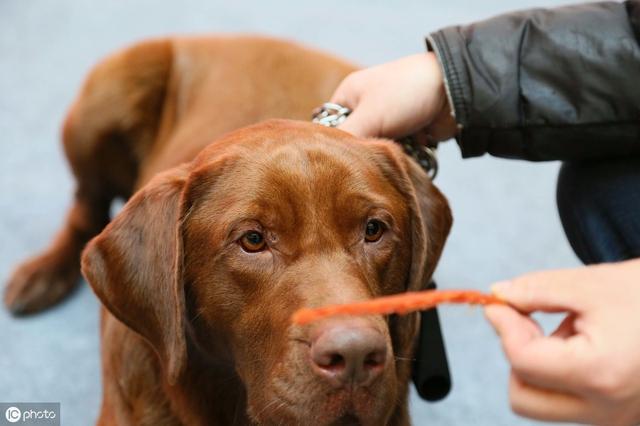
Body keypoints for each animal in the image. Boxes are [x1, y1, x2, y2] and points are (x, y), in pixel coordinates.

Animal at [3, 35, 450, 424]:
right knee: (86, 206)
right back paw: (40, 275)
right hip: (106, 95)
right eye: (252, 240)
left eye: (374, 230)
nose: (355, 356)